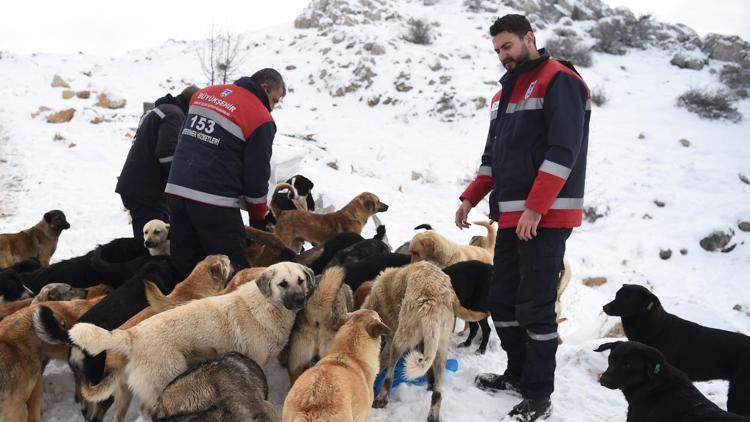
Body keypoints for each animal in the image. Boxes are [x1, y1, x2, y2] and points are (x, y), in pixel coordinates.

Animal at [69, 262, 318, 410]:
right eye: (282, 284)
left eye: (301, 280)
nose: (300, 300)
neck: (266, 305)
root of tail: (131, 335)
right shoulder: (253, 363)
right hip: (168, 378)